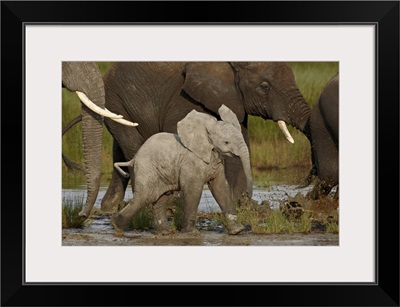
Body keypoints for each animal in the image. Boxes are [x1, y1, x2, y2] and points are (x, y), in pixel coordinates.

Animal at [101, 62, 312, 214]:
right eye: (265, 86)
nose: (300, 192)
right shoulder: (184, 98)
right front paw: (176, 204)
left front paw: (241, 204)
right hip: (114, 98)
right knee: (131, 144)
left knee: (119, 150)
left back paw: (109, 206)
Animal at [111, 104, 252, 237]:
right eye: (226, 142)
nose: (246, 197)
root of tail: (134, 158)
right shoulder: (190, 163)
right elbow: (193, 190)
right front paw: (191, 233)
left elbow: (221, 188)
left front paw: (238, 231)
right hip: (146, 170)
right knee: (144, 197)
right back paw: (117, 226)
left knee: (160, 199)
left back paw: (164, 232)